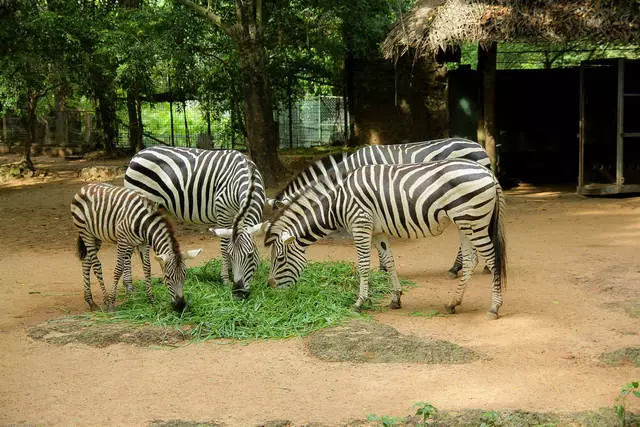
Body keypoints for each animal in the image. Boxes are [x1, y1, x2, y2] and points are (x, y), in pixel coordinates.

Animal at [69, 183, 201, 310]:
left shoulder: (143, 242)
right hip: (86, 233)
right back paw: (105, 299)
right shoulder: (122, 240)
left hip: (96, 236)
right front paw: (111, 303)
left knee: (86, 262)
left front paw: (151, 299)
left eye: (185, 276)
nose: (180, 306)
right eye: (167, 277)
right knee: (96, 265)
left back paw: (90, 301)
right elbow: (119, 269)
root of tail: (85, 187)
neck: (143, 222)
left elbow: (147, 268)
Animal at [124, 145, 266, 300]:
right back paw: (129, 286)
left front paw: (229, 272)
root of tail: (137, 155)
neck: (246, 175)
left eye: (250, 255)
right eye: (233, 255)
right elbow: (224, 246)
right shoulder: (223, 213)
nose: (238, 293)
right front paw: (225, 278)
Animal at [262, 159, 508, 320]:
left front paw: (359, 303)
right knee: (470, 260)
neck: (337, 203)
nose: (270, 287)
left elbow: (362, 265)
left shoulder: (360, 225)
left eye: (279, 259)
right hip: (464, 223)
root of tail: (488, 173)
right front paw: (396, 299)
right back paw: (452, 303)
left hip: (473, 220)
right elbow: (389, 262)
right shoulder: (377, 231)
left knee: (492, 258)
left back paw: (494, 307)